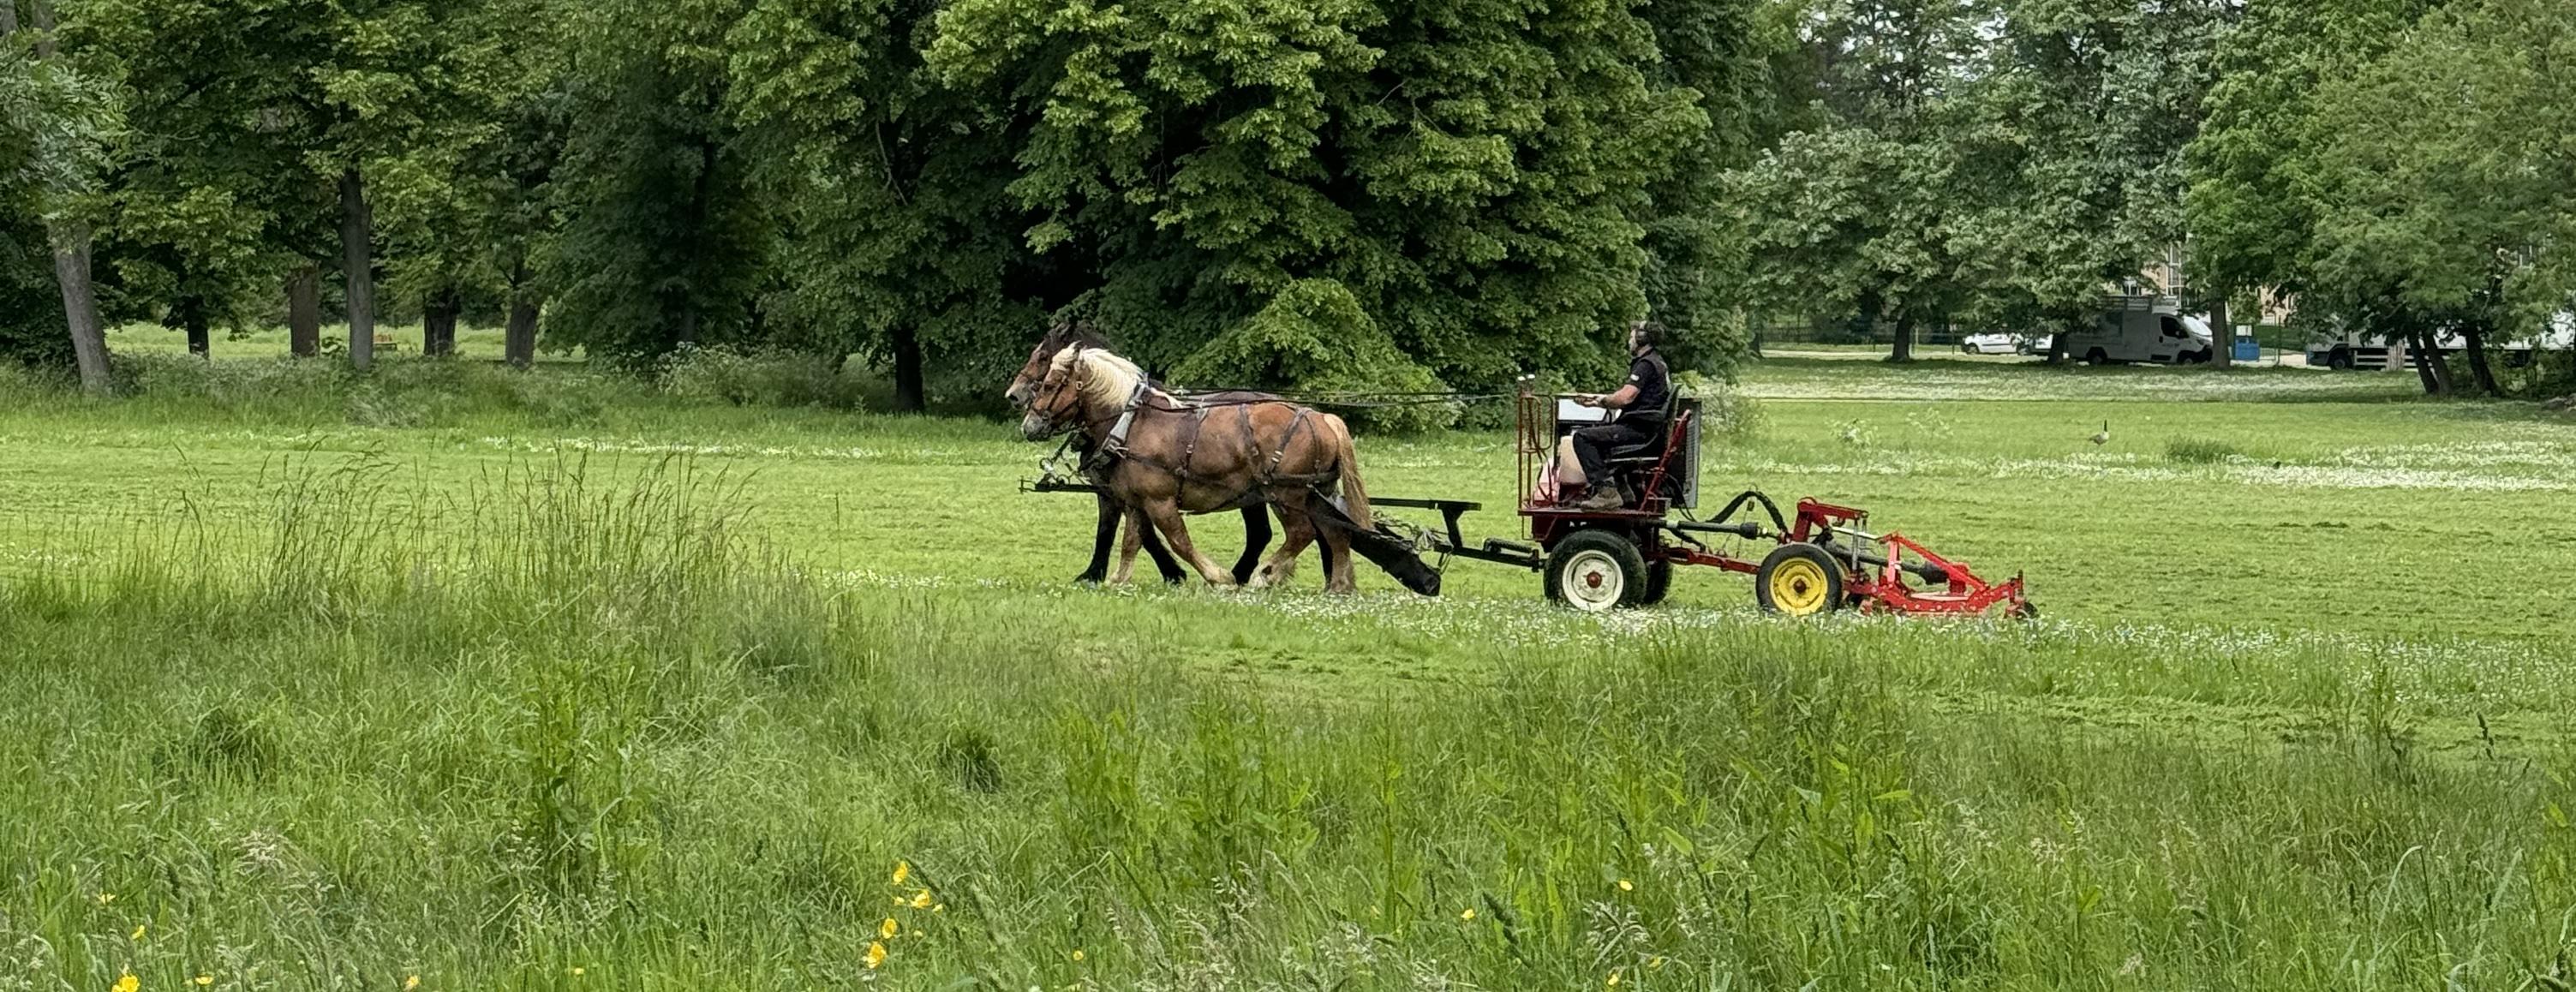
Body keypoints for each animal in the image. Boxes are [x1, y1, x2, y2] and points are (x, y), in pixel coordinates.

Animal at [1005, 323, 1272, 585]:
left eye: (1043, 357)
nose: (1013, 395)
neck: (1127, 419)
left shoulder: (1116, 491)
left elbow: (1122, 531)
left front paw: (1169, 572)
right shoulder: (1120, 491)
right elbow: (1131, 531)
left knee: (1260, 534)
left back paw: (1239, 575)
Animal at [1017, 345, 1374, 592]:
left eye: (1049, 384)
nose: (1028, 425)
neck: (1132, 423)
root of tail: (1321, 417)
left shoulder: (1159, 500)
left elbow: (1179, 541)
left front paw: (1218, 577)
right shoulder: (1136, 501)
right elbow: (1132, 540)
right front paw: (1117, 580)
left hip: (1286, 493)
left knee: (1302, 533)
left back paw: (1265, 575)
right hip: (1316, 492)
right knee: (1335, 532)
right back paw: (1338, 585)